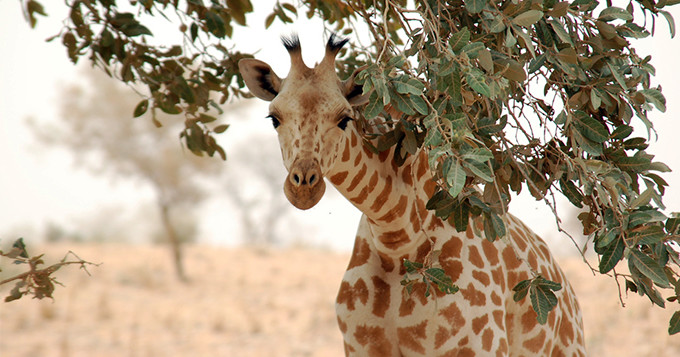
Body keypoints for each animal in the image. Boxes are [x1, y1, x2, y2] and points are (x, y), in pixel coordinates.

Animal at [238, 35, 584, 356]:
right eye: (274, 118)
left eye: (344, 118)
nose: (303, 187)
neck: (397, 236)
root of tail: (568, 292)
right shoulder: (360, 347)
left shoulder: (480, 347)